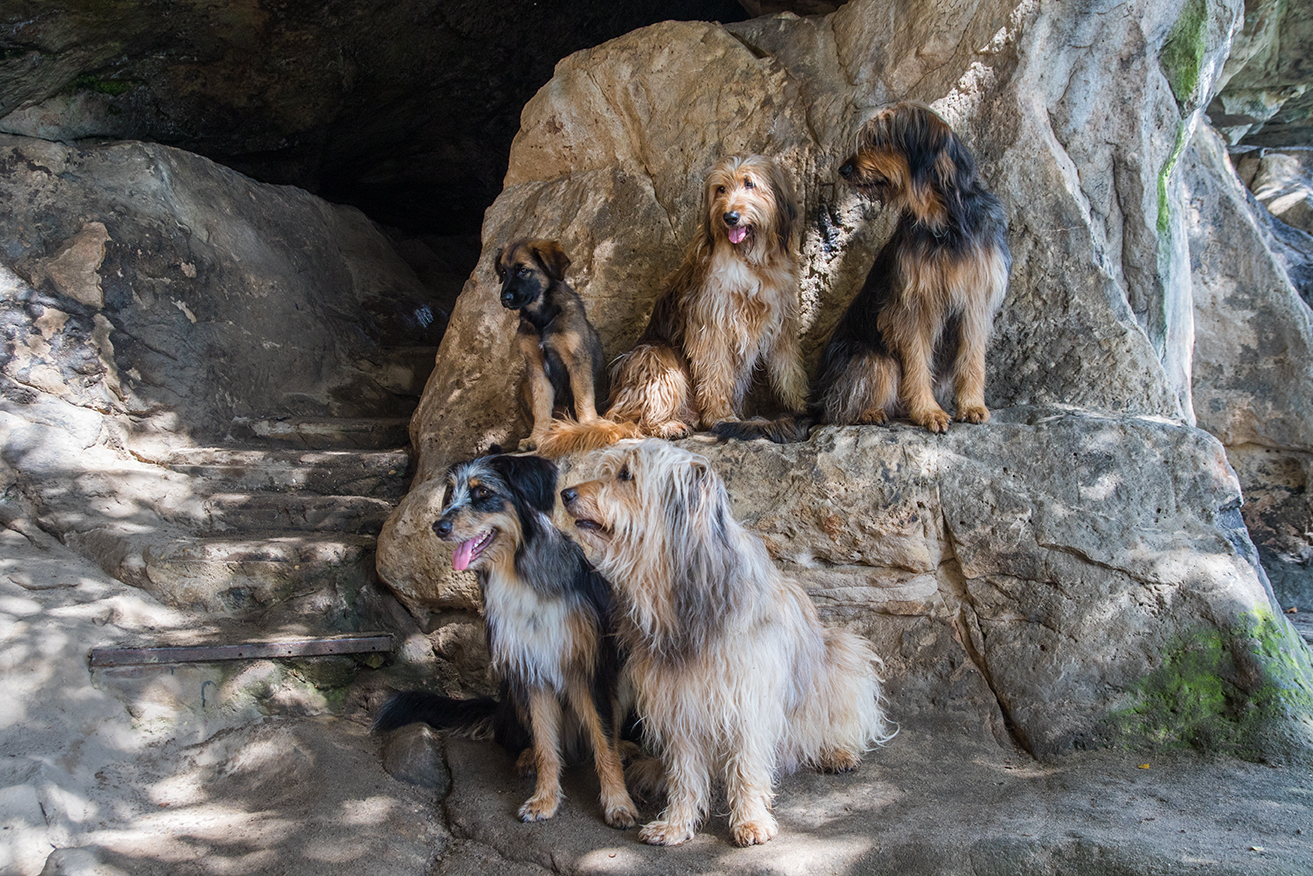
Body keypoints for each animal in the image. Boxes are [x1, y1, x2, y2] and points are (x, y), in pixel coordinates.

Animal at [373, 452, 638, 829]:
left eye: (483, 492)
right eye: (450, 494)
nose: (439, 527)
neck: (520, 573)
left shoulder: (586, 670)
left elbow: (604, 742)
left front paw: (618, 803)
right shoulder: (531, 671)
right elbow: (545, 746)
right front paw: (545, 799)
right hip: (513, 690)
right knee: (520, 740)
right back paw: (526, 757)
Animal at [495, 239, 607, 452]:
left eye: (523, 270)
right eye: (504, 272)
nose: (505, 299)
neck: (541, 317)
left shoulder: (577, 361)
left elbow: (583, 399)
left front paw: (587, 427)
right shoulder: (535, 367)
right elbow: (541, 407)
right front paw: (537, 437)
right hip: (523, 383)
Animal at [537, 154, 806, 456]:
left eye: (749, 183)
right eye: (721, 189)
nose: (730, 217)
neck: (751, 260)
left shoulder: (780, 321)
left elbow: (789, 369)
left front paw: (802, 406)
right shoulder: (712, 325)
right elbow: (715, 372)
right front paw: (721, 416)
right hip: (656, 356)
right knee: (637, 419)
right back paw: (669, 426)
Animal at [561, 439, 891, 846]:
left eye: (626, 475)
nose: (565, 493)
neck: (684, 591)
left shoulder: (748, 698)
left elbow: (747, 766)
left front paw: (750, 820)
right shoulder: (677, 699)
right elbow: (684, 772)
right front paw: (676, 823)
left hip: (842, 653)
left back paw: (836, 751)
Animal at [715, 103, 1010, 444]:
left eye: (880, 140)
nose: (844, 169)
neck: (945, 224)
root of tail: (819, 400)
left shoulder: (976, 301)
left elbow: (973, 359)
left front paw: (972, 405)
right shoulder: (913, 307)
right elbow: (918, 364)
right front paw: (928, 411)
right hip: (871, 357)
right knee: (843, 407)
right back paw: (870, 412)